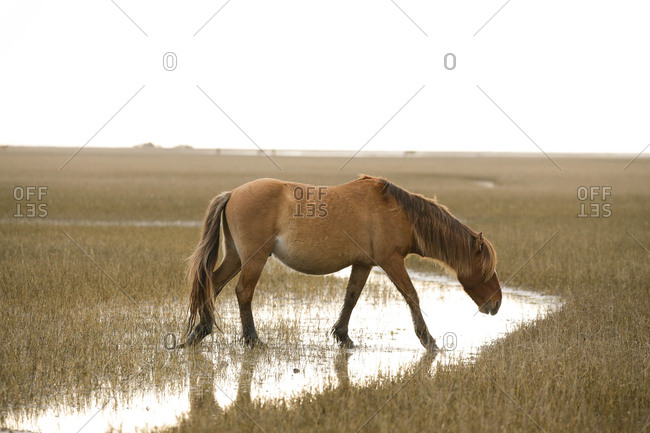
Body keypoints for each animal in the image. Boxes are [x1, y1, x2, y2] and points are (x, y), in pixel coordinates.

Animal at [181, 175, 501, 351]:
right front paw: (429, 341)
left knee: (213, 283)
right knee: (243, 292)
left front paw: (343, 337)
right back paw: (252, 339)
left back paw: (200, 331)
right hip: (254, 259)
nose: (497, 304)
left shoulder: (364, 264)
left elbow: (351, 298)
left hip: (236, 257)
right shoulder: (390, 261)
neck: (399, 213)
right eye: (486, 271)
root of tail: (233, 193)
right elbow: (411, 295)